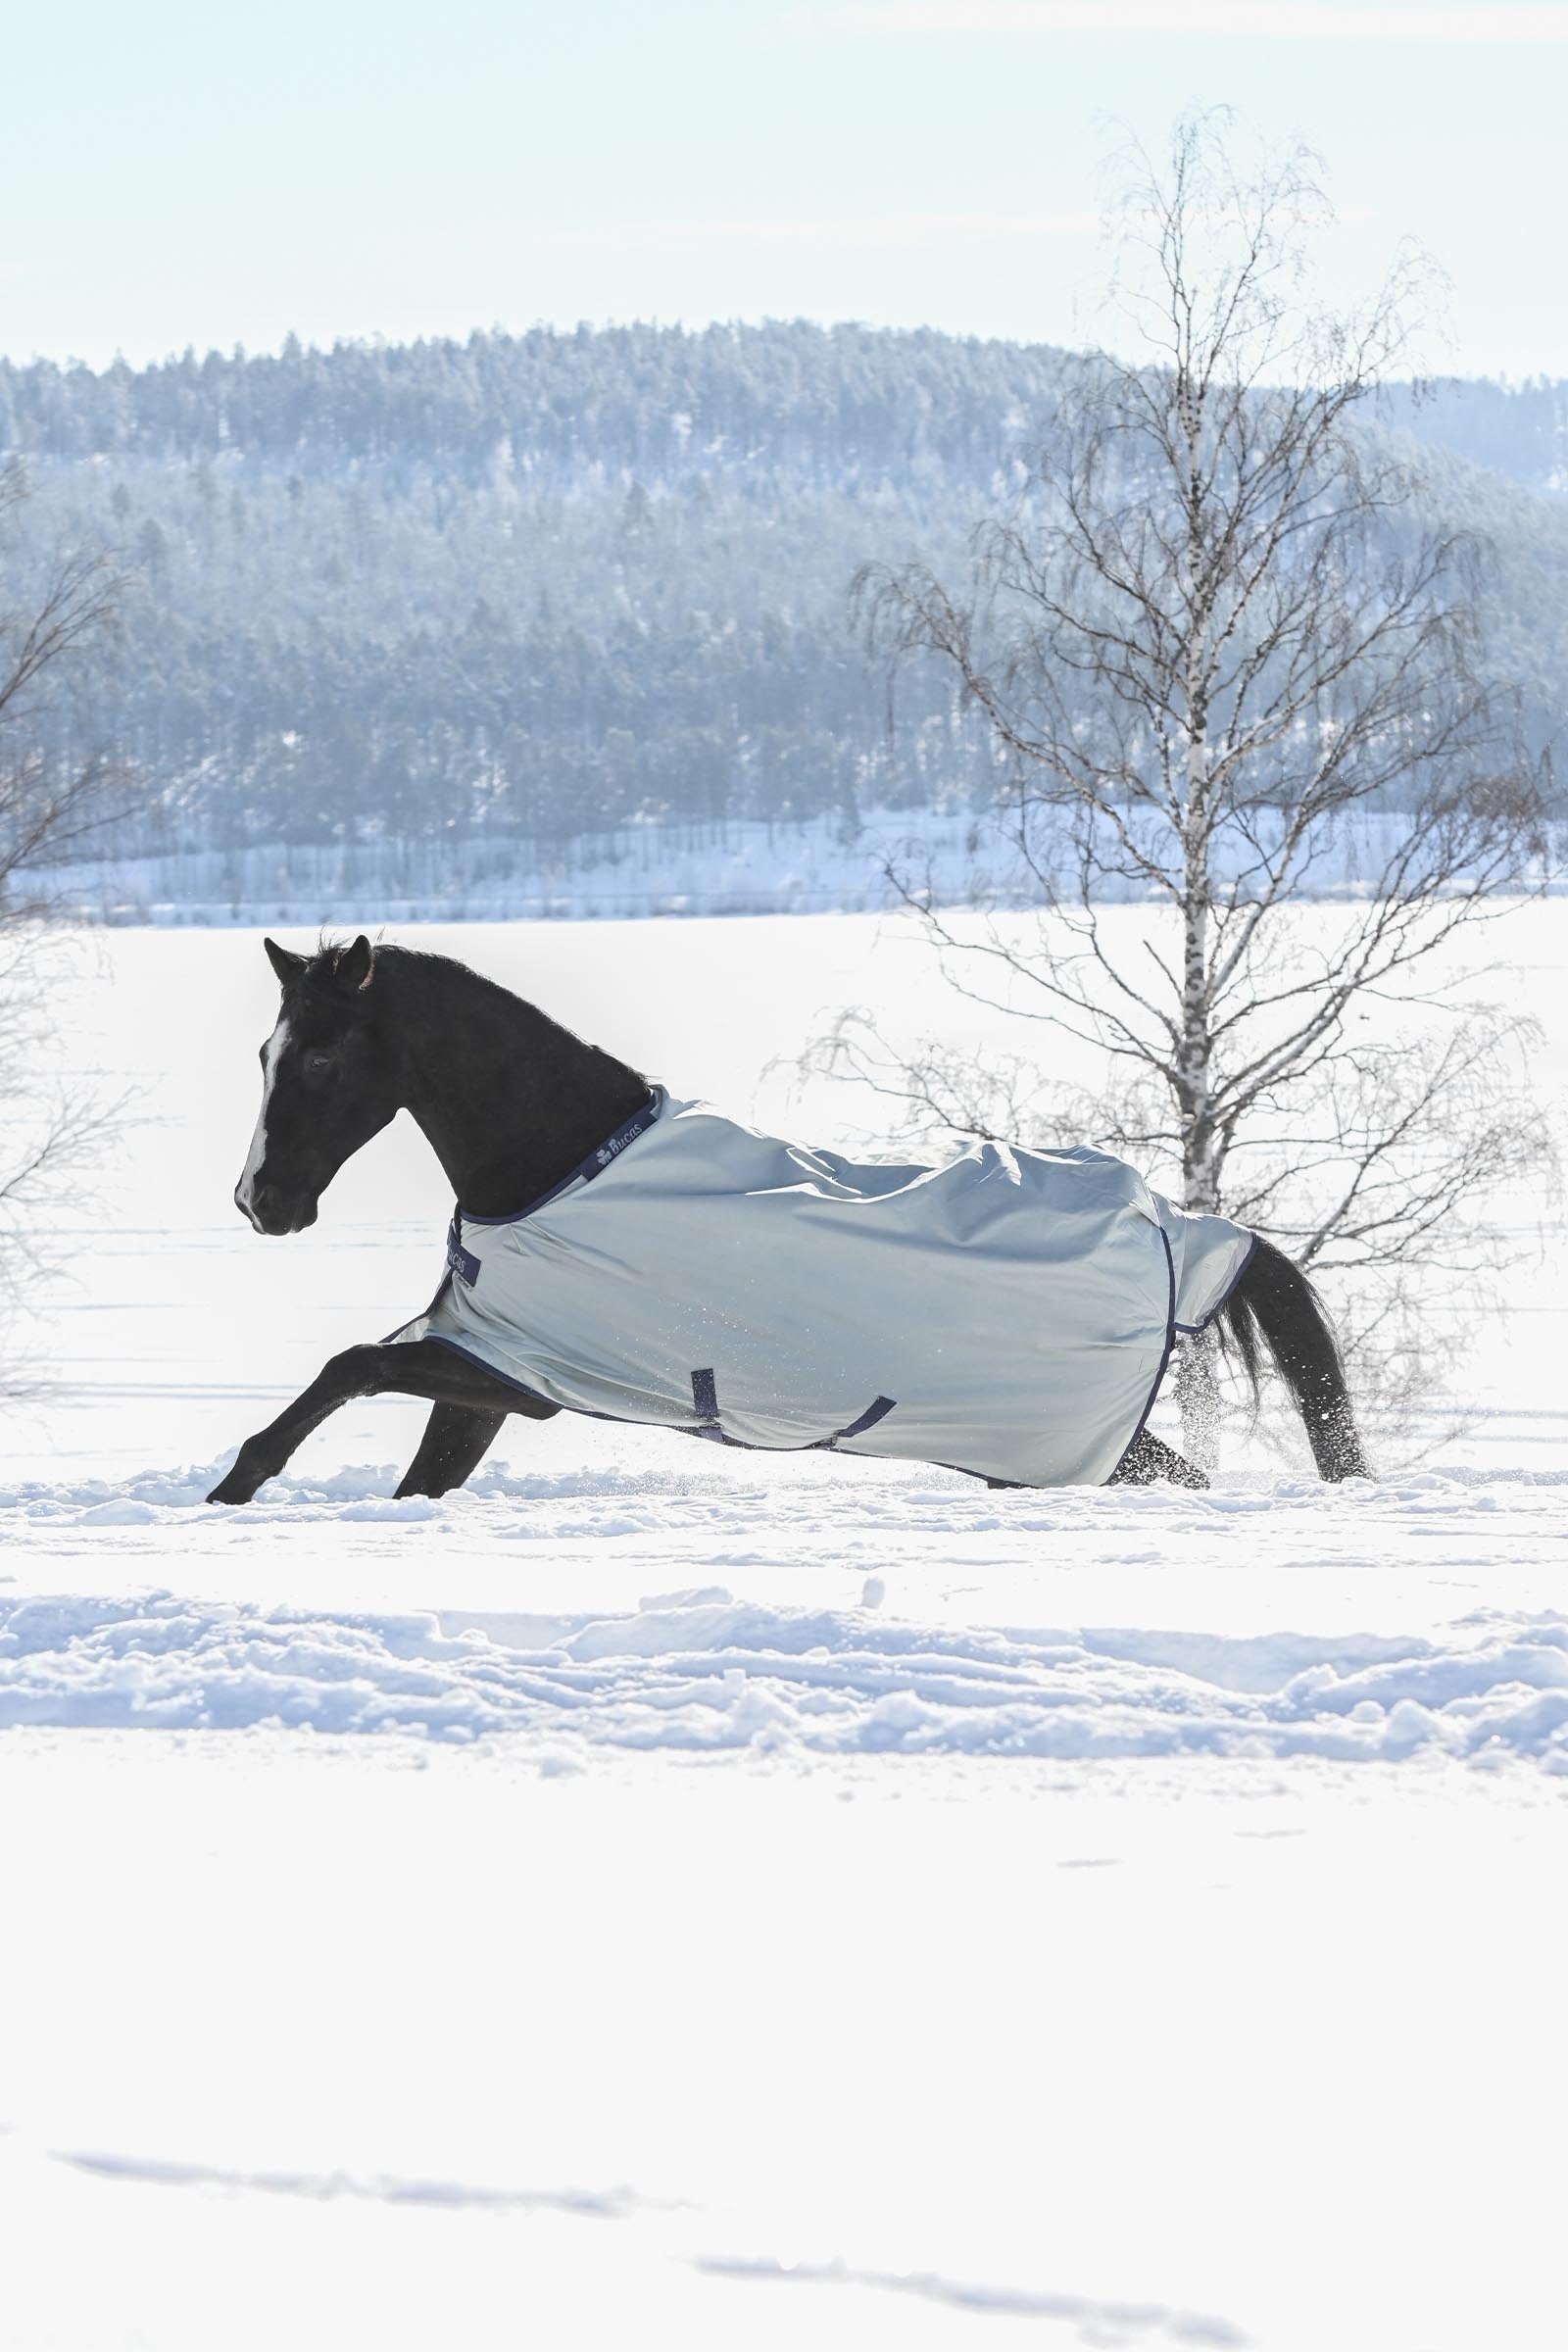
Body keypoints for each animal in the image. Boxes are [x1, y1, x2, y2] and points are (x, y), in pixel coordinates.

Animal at [207, 935, 1369, 1507]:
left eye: (321, 1056)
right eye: (264, 1052)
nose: (262, 1203)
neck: (553, 1168)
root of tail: (1180, 1230)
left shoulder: (518, 1371)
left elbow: (349, 1366)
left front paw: (234, 1486)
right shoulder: (490, 1364)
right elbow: (413, 1471)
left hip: (1067, 1444)